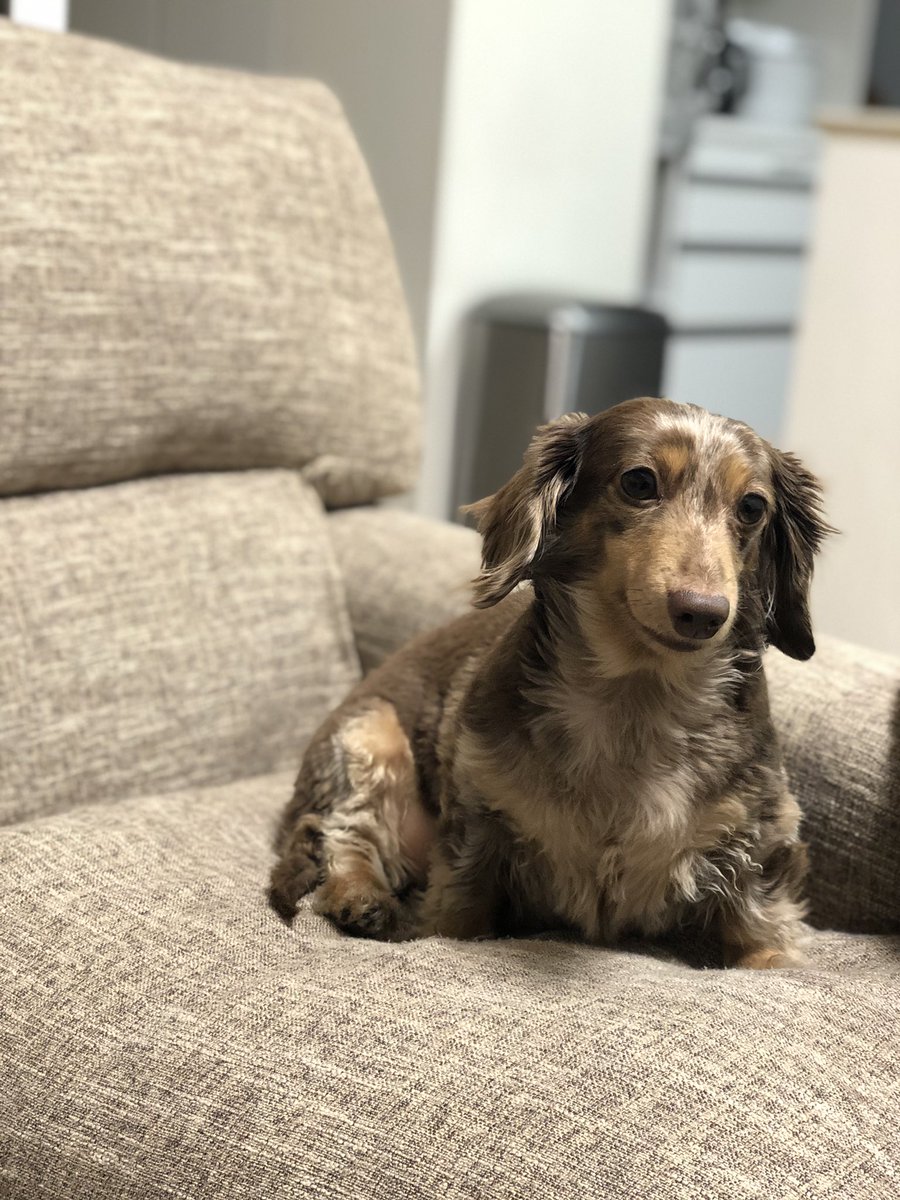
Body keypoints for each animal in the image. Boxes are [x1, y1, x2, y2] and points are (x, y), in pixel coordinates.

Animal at [269, 397, 831, 968]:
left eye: (753, 508)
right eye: (639, 482)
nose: (703, 612)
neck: (635, 700)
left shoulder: (760, 848)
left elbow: (764, 943)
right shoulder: (476, 832)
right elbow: (456, 917)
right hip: (371, 738)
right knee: (346, 833)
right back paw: (361, 897)